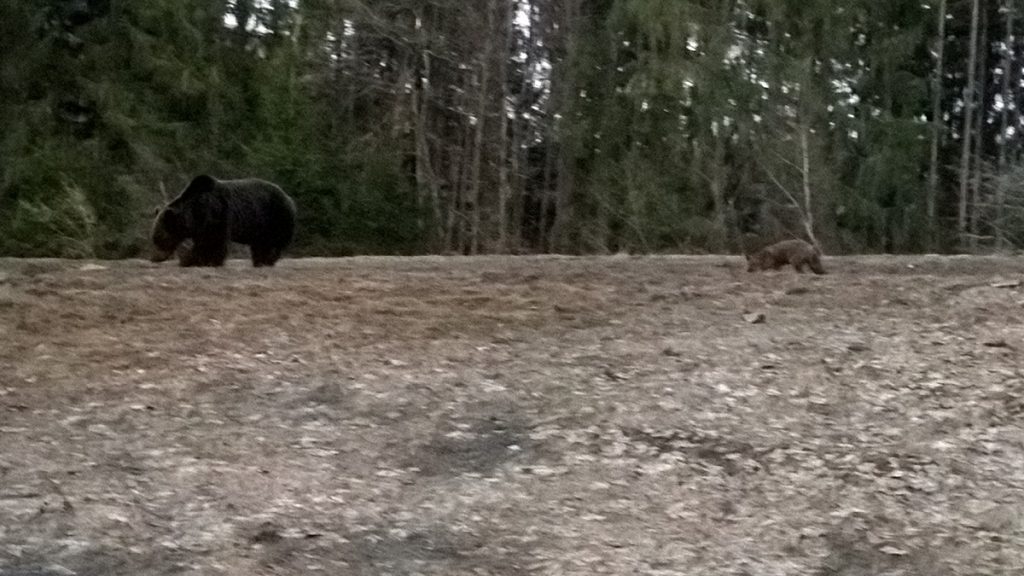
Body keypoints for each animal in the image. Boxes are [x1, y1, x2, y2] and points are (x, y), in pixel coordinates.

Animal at [151, 175, 296, 266]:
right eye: (153, 238)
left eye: (159, 238)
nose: (154, 258)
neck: (194, 212)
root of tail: (289, 198)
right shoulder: (200, 225)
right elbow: (203, 241)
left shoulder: (216, 214)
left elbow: (213, 240)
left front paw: (193, 260)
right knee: (260, 244)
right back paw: (259, 261)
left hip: (276, 217)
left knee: (274, 242)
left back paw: (267, 260)